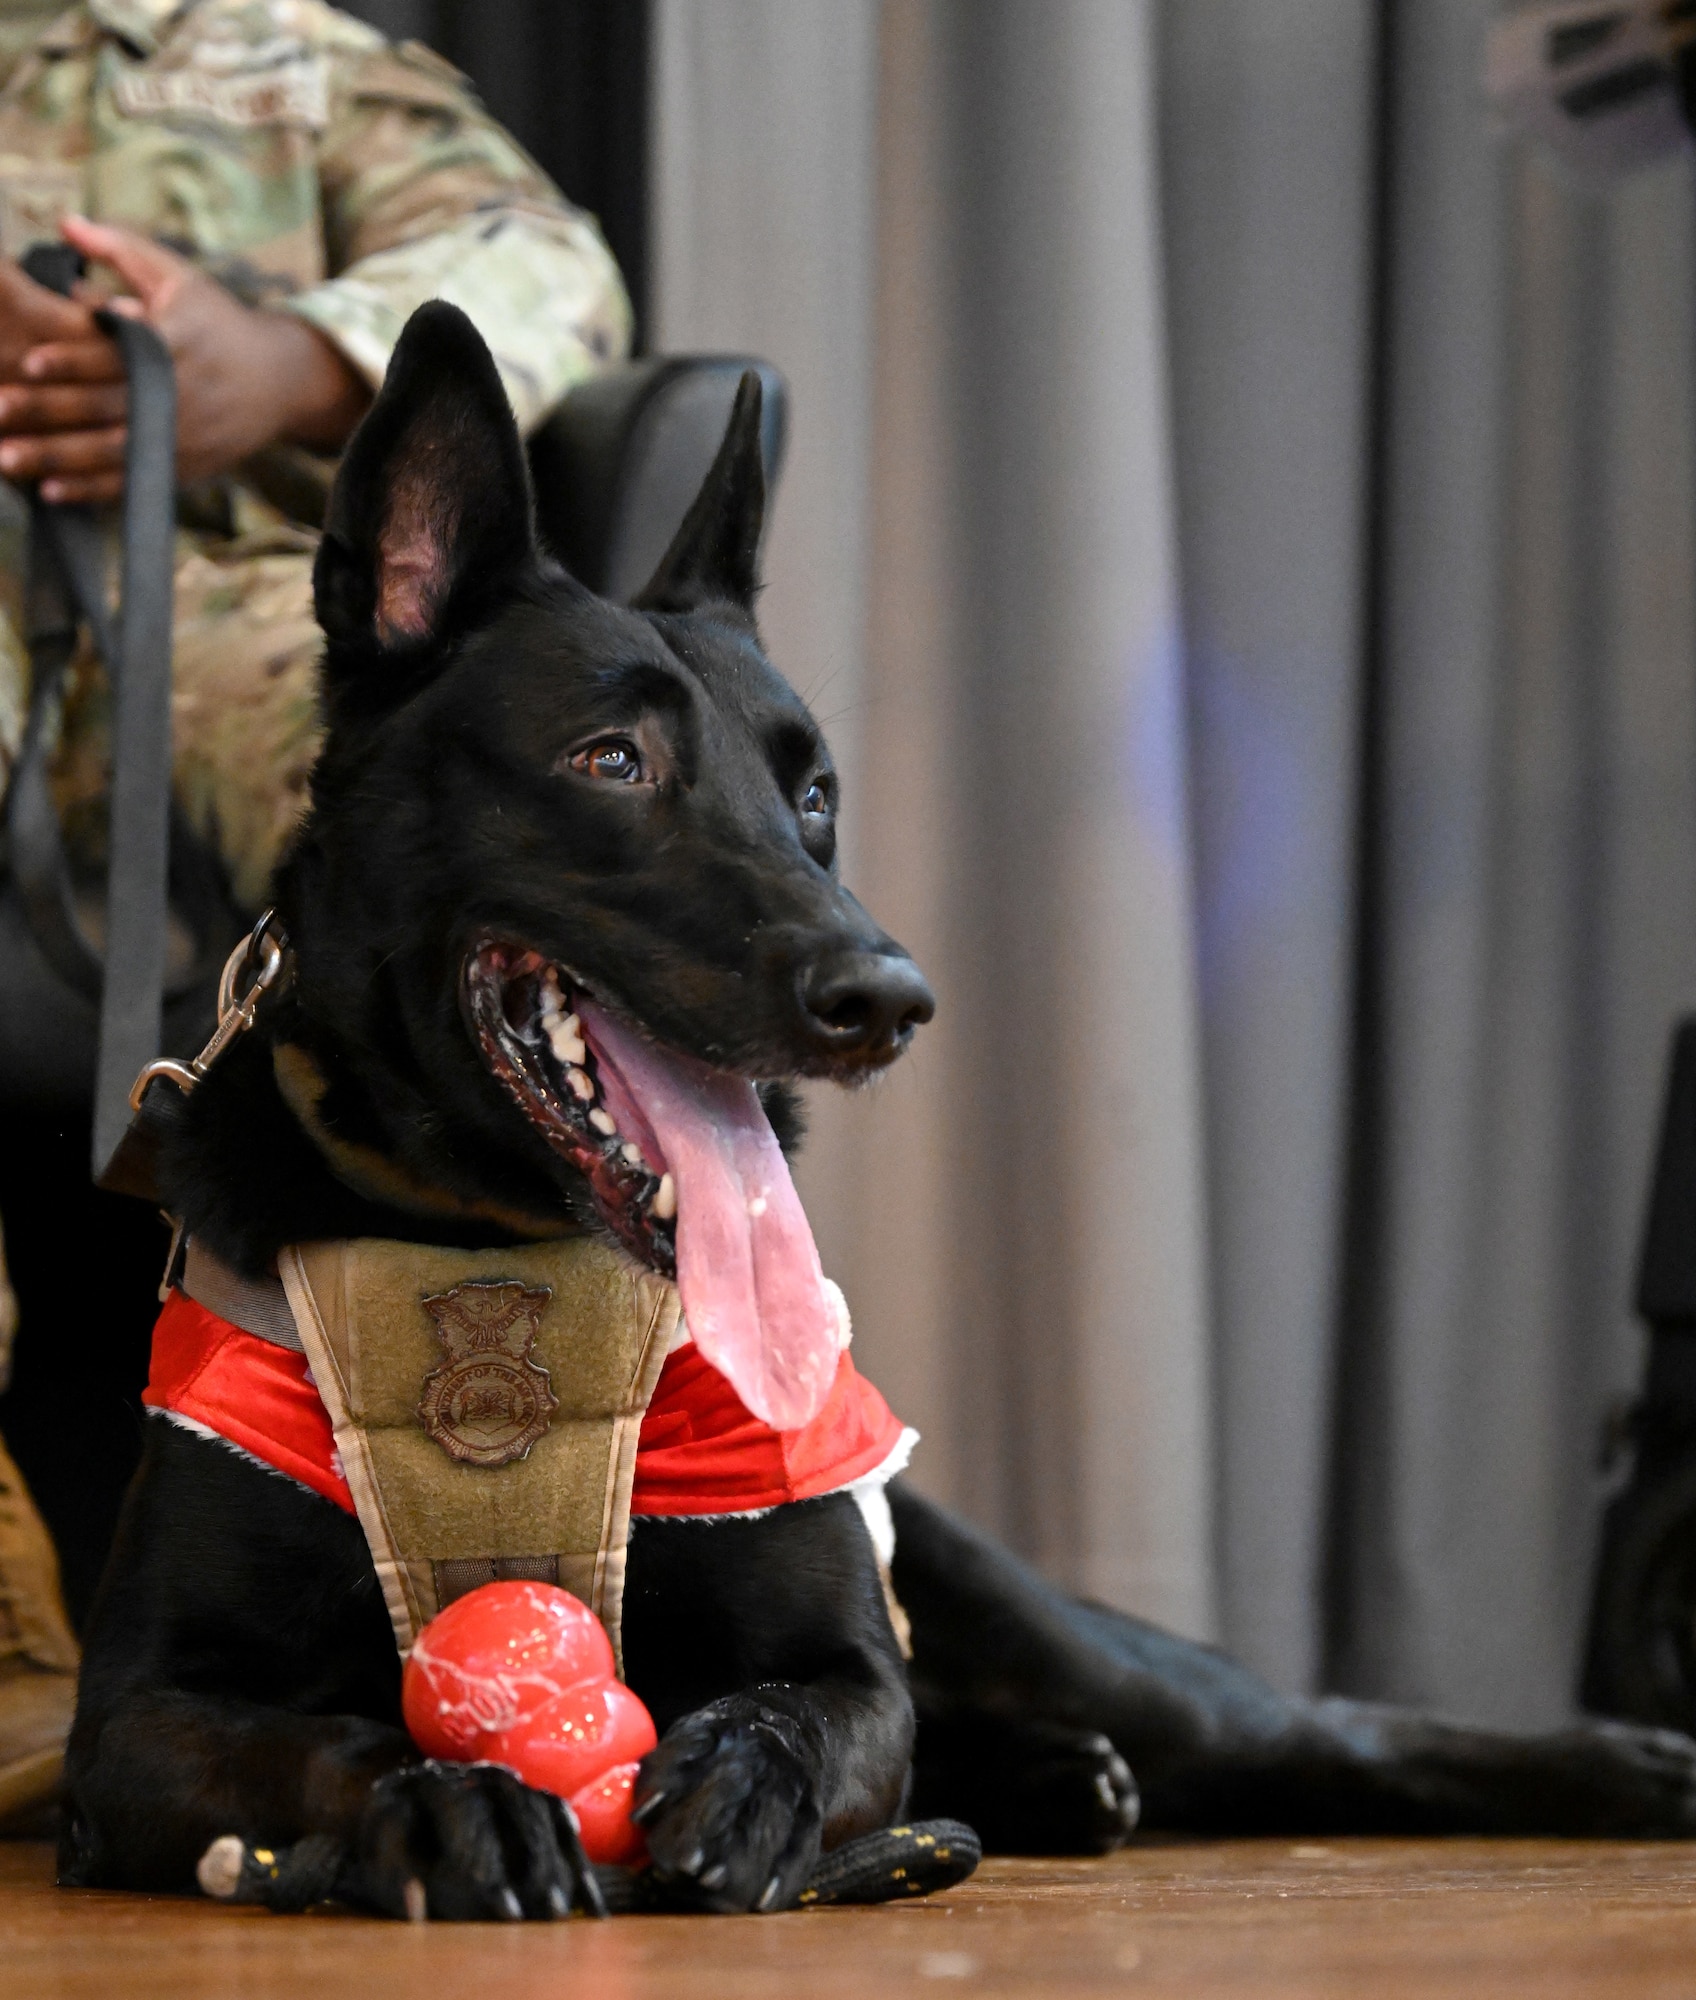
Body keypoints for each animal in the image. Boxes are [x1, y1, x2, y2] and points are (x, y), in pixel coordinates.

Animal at [63, 300, 1696, 1920]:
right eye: (612, 760)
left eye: (816, 796)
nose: (889, 999)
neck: (488, 1245)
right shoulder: (128, 1722)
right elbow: (325, 1736)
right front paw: (448, 1794)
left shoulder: (850, 1657)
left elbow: (818, 1703)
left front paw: (750, 1774)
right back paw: (1061, 1780)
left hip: (1063, 1632)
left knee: (1309, 1731)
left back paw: (1611, 1761)